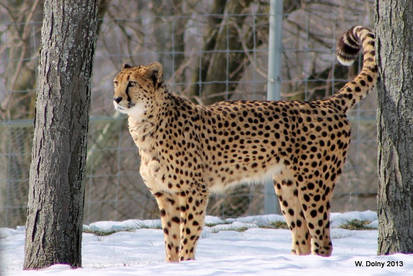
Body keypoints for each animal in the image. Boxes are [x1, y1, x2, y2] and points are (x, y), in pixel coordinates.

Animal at [112, 26, 376, 264]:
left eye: (132, 83)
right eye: (116, 82)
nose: (116, 98)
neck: (145, 125)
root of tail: (325, 102)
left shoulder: (194, 192)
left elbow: (188, 235)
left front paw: (187, 263)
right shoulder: (164, 195)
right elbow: (170, 240)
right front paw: (171, 265)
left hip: (314, 185)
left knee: (322, 239)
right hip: (286, 186)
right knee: (302, 235)